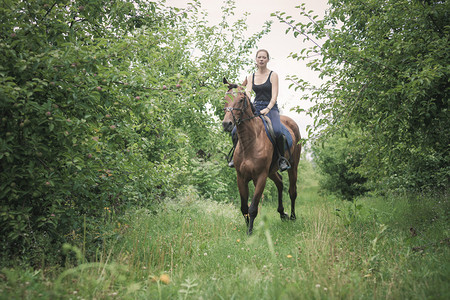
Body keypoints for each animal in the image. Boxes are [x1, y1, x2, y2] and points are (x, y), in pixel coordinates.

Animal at [222, 79, 302, 234]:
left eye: (241, 99)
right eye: (225, 99)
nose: (227, 124)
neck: (249, 142)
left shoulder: (260, 177)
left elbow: (253, 207)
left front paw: (250, 232)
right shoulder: (241, 177)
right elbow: (244, 207)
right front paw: (247, 227)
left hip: (293, 166)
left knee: (292, 191)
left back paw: (293, 216)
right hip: (271, 171)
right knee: (280, 182)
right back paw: (282, 213)